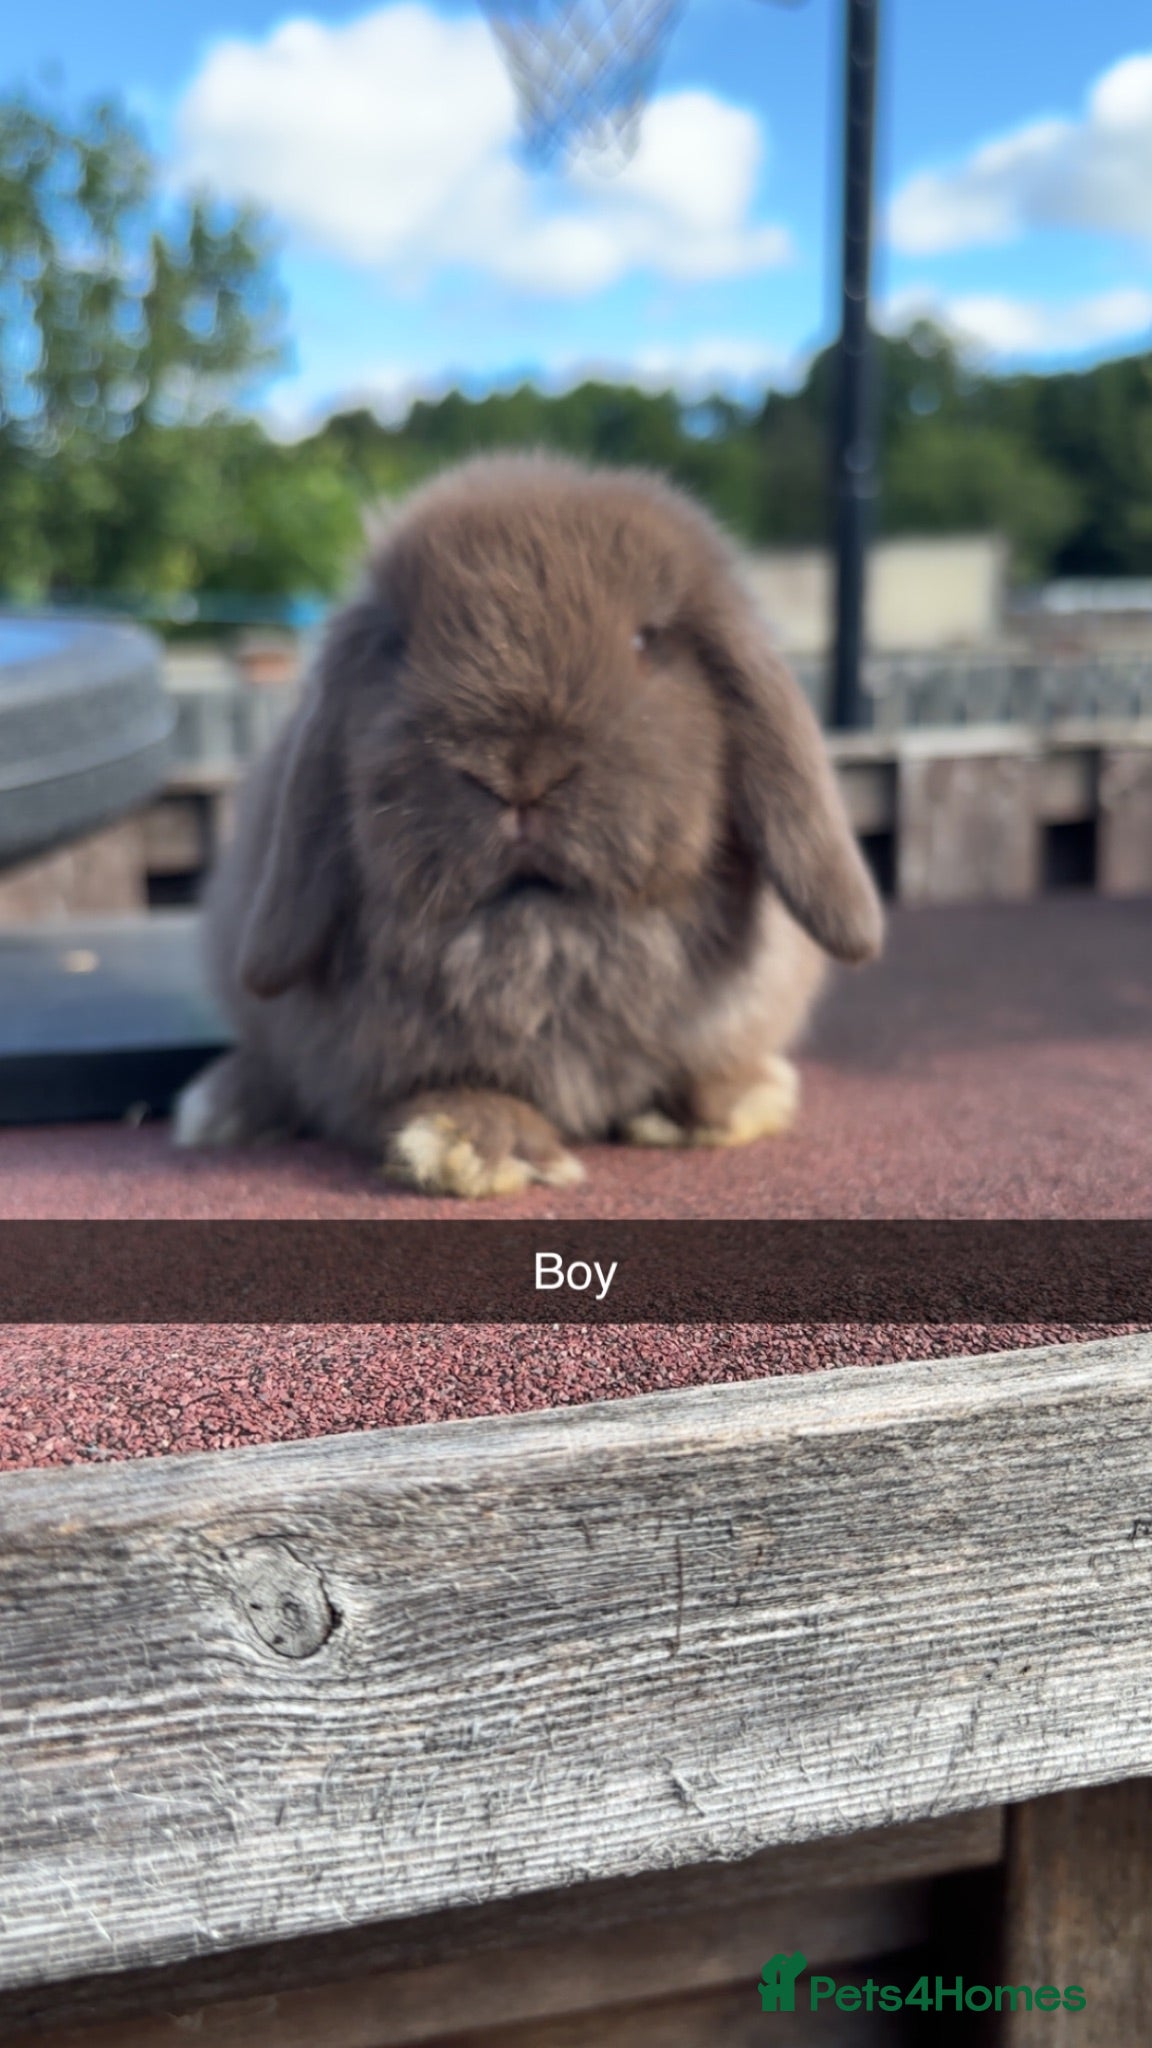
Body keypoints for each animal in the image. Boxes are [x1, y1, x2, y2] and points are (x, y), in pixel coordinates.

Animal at [173, 452, 883, 1196]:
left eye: (646, 640)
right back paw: (220, 1109)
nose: (519, 773)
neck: (544, 936)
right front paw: (478, 1147)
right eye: (398, 645)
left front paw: (722, 1105)